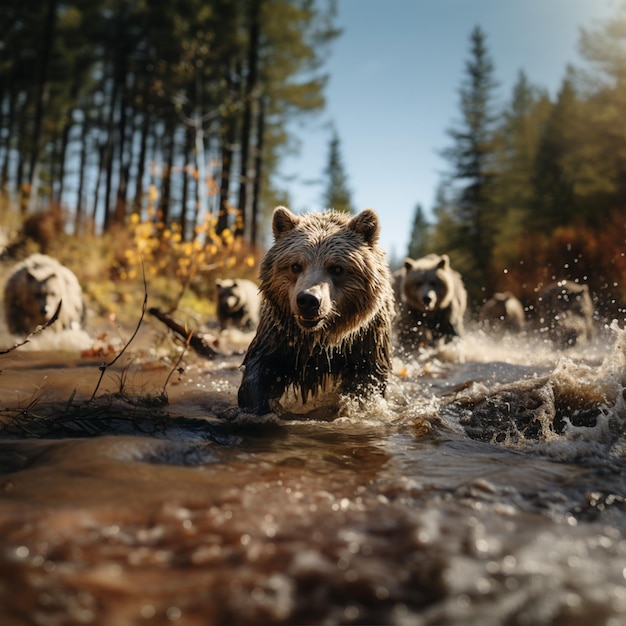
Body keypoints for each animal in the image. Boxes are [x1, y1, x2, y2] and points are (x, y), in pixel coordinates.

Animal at [236, 206, 392, 420]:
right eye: (295, 265)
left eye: (337, 268)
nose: (308, 300)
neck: (320, 338)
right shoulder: (281, 335)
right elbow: (260, 368)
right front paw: (259, 407)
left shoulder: (365, 339)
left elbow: (367, 379)